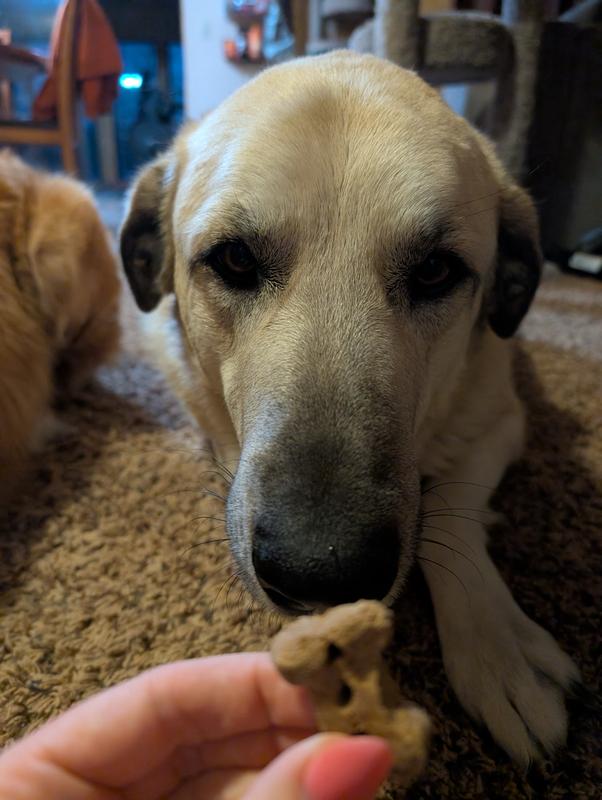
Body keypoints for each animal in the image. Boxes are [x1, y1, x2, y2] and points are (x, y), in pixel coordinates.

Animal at [120, 51, 579, 764]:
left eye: (436, 271)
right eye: (234, 259)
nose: (322, 571)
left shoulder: (501, 418)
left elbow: (450, 511)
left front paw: (497, 645)